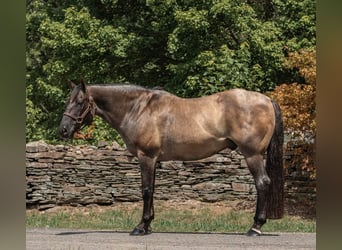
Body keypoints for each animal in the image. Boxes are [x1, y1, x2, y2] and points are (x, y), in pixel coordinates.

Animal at [58, 79, 284, 236]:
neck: (138, 109)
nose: (64, 130)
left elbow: (146, 190)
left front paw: (140, 227)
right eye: (68, 101)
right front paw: (148, 225)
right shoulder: (154, 160)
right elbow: (152, 189)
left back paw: (255, 227)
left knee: (262, 183)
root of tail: (267, 100)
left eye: (80, 102)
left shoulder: (146, 157)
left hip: (252, 155)